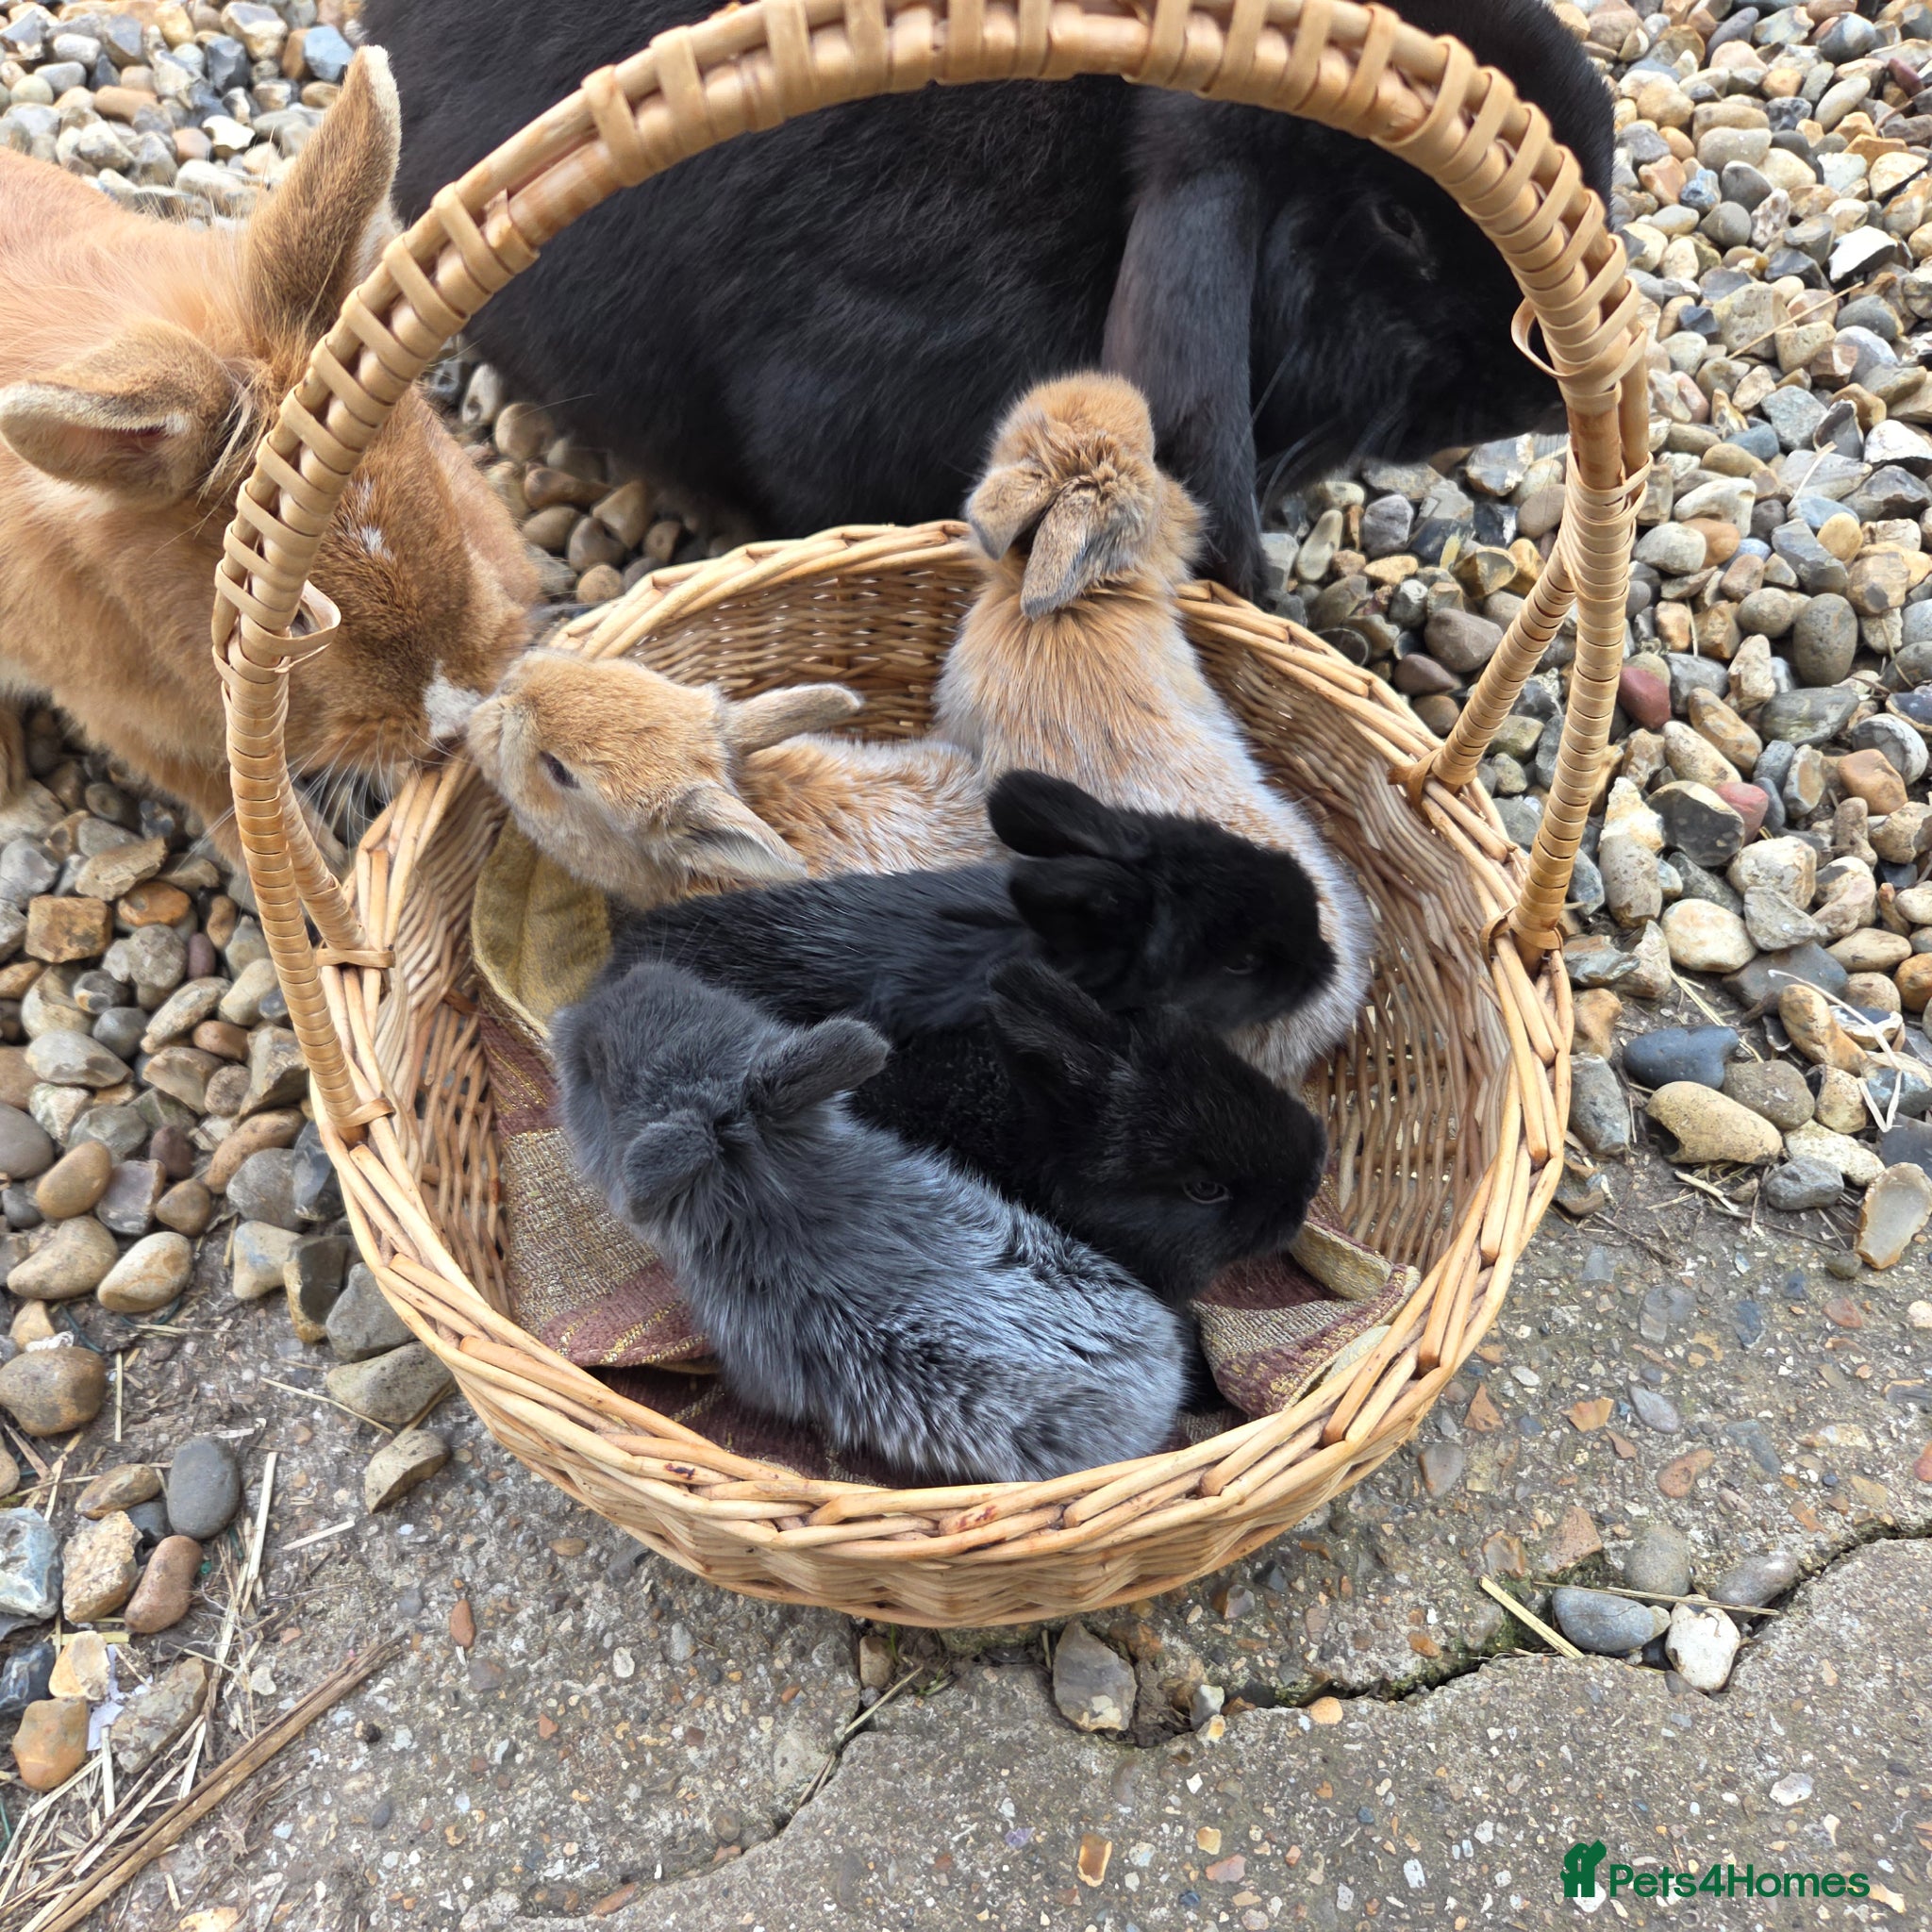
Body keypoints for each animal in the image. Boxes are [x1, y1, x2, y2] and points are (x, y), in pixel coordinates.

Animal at [0, 50, 532, 859]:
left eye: (440, 493)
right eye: (299, 620)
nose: (458, 704)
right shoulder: (120, 714)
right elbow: (217, 790)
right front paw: (314, 871)